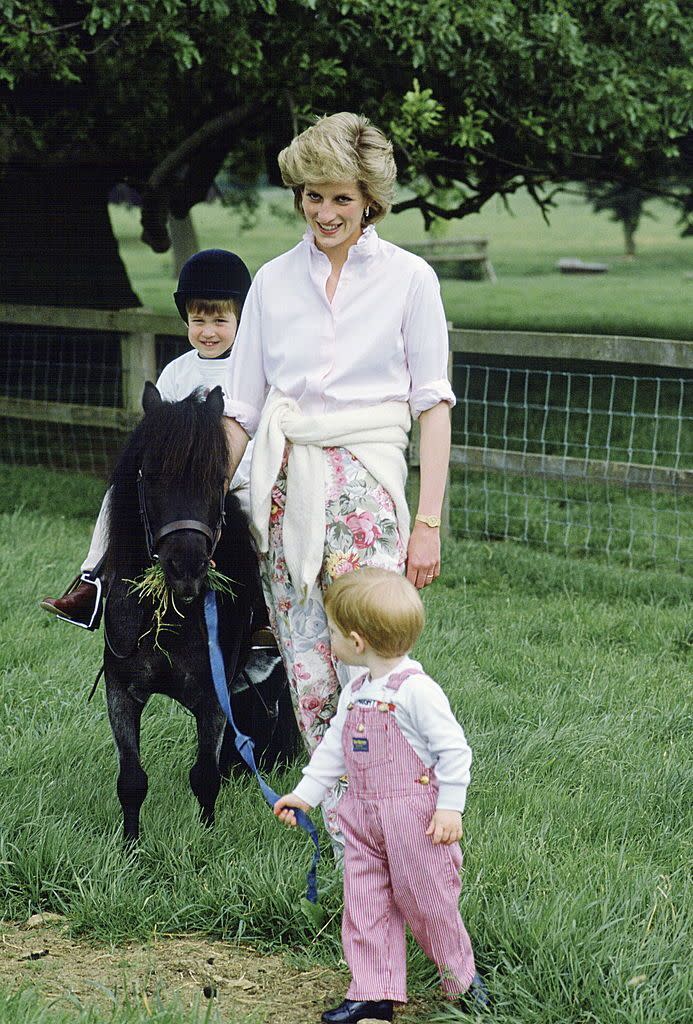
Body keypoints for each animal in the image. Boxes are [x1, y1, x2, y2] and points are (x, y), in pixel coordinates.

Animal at [101, 385, 296, 839]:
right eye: (151, 475)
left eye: (215, 478)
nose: (186, 567)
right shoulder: (120, 692)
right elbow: (131, 779)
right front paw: (131, 846)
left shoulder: (211, 699)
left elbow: (204, 777)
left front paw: (205, 837)